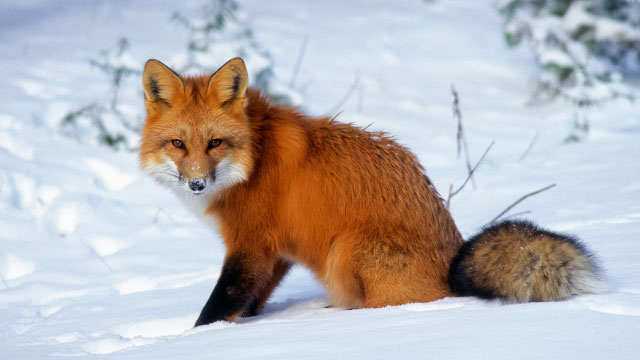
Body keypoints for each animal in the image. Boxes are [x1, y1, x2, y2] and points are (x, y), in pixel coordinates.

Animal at [138, 57, 608, 326]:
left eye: (215, 143)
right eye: (178, 144)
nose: (197, 183)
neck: (254, 157)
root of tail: (452, 274)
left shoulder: (250, 244)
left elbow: (217, 307)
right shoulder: (275, 251)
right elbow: (249, 300)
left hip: (345, 248)